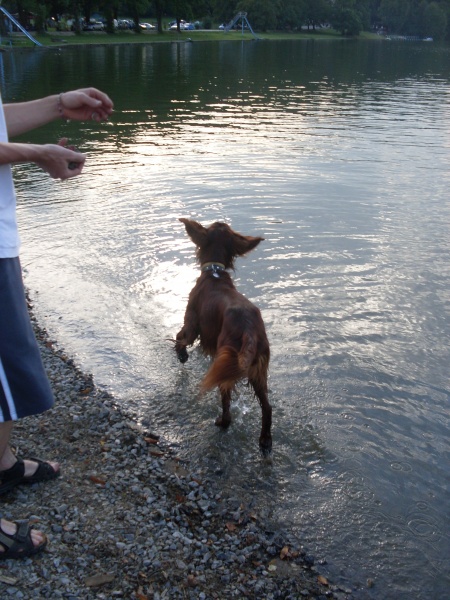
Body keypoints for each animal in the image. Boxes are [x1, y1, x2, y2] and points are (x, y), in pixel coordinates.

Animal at [175, 218, 272, 454]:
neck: (214, 272)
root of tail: (249, 330)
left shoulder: (192, 322)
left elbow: (180, 337)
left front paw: (181, 355)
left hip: (225, 361)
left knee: (227, 406)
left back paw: (221, 422)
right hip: (257, 370)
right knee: (267, 407)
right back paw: (265, 440)